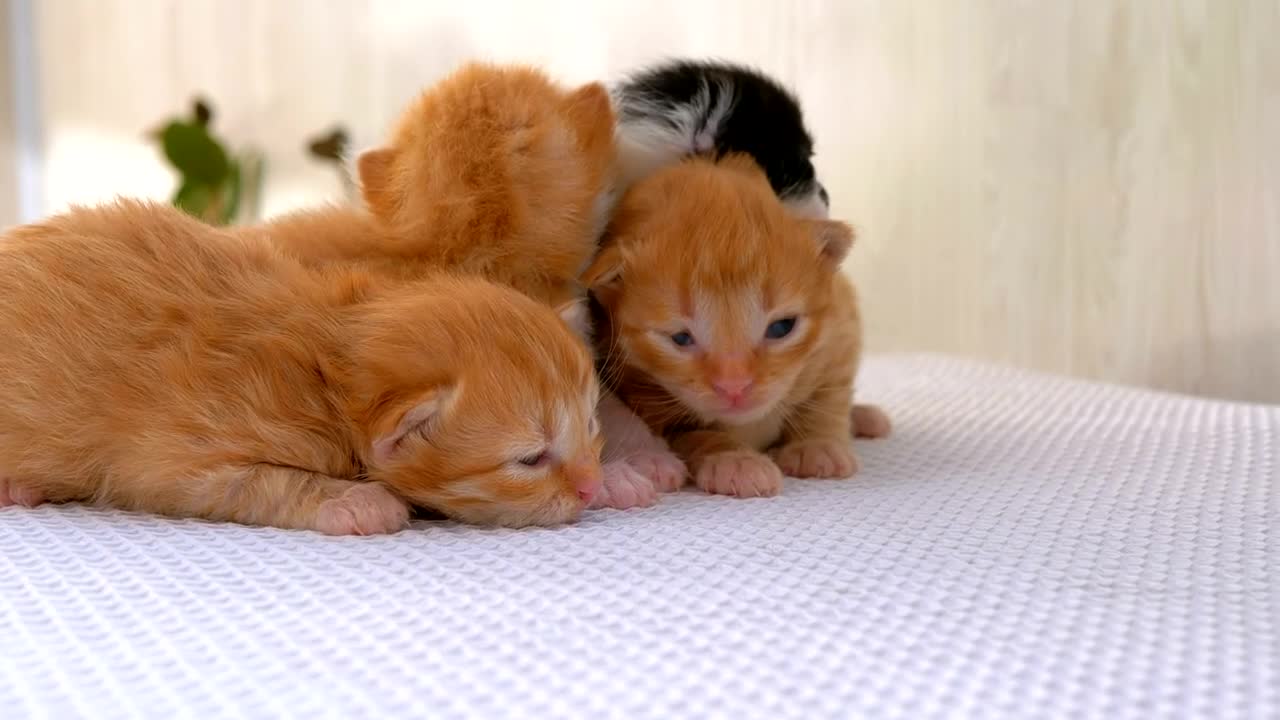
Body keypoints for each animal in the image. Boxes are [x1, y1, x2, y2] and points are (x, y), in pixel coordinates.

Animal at [0, 198, 606, 530]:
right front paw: (359, 500)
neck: (326, 359)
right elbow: (260, 483)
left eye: (593, 423)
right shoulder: (174, 456)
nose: (589, 488)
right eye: (529, 459)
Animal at [583, 155, 890, 497]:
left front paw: (817, 445)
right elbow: (695, 434)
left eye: (782, 327)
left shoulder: (841, 328)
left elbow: (830, 394)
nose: (735, 387)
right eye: (680, 338)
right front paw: (734, 460)